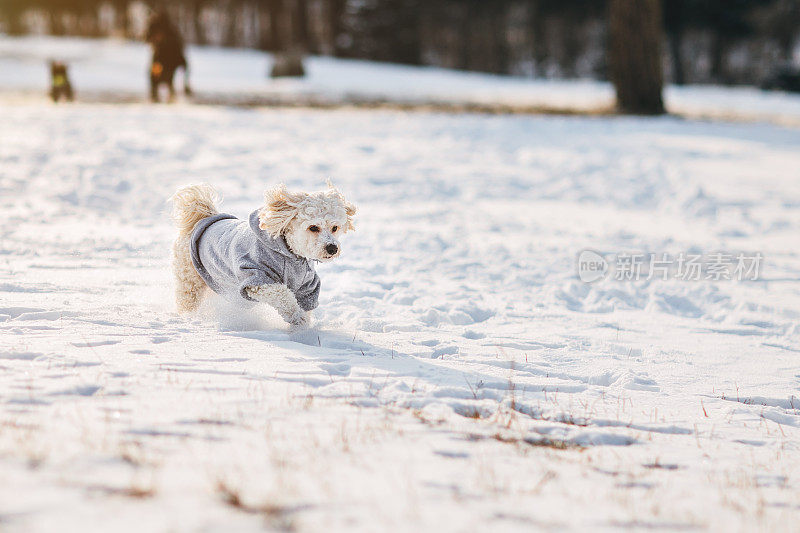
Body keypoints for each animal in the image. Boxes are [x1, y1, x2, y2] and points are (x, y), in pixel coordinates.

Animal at [170, 183, 354, 328]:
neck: (290, 254)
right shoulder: (256, 278)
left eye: (335, 228)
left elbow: (305, 302)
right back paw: (188, 318)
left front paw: (302, 331)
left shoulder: (307, 285)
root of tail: (202, 219)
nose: (332, 248)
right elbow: (282, 294)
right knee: (187, 299)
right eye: (313, 227)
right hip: (191, 280)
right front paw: (297, 318)